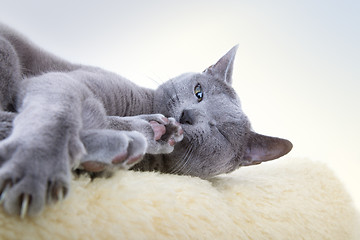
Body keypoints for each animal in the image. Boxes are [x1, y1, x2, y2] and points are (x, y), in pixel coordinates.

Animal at [0, 23, 292, 218]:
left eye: (219, 131)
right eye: (199, 92)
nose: (187, 115)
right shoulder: (63, 80)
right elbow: (59, 112)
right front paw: (35, 167)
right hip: (8, 53)